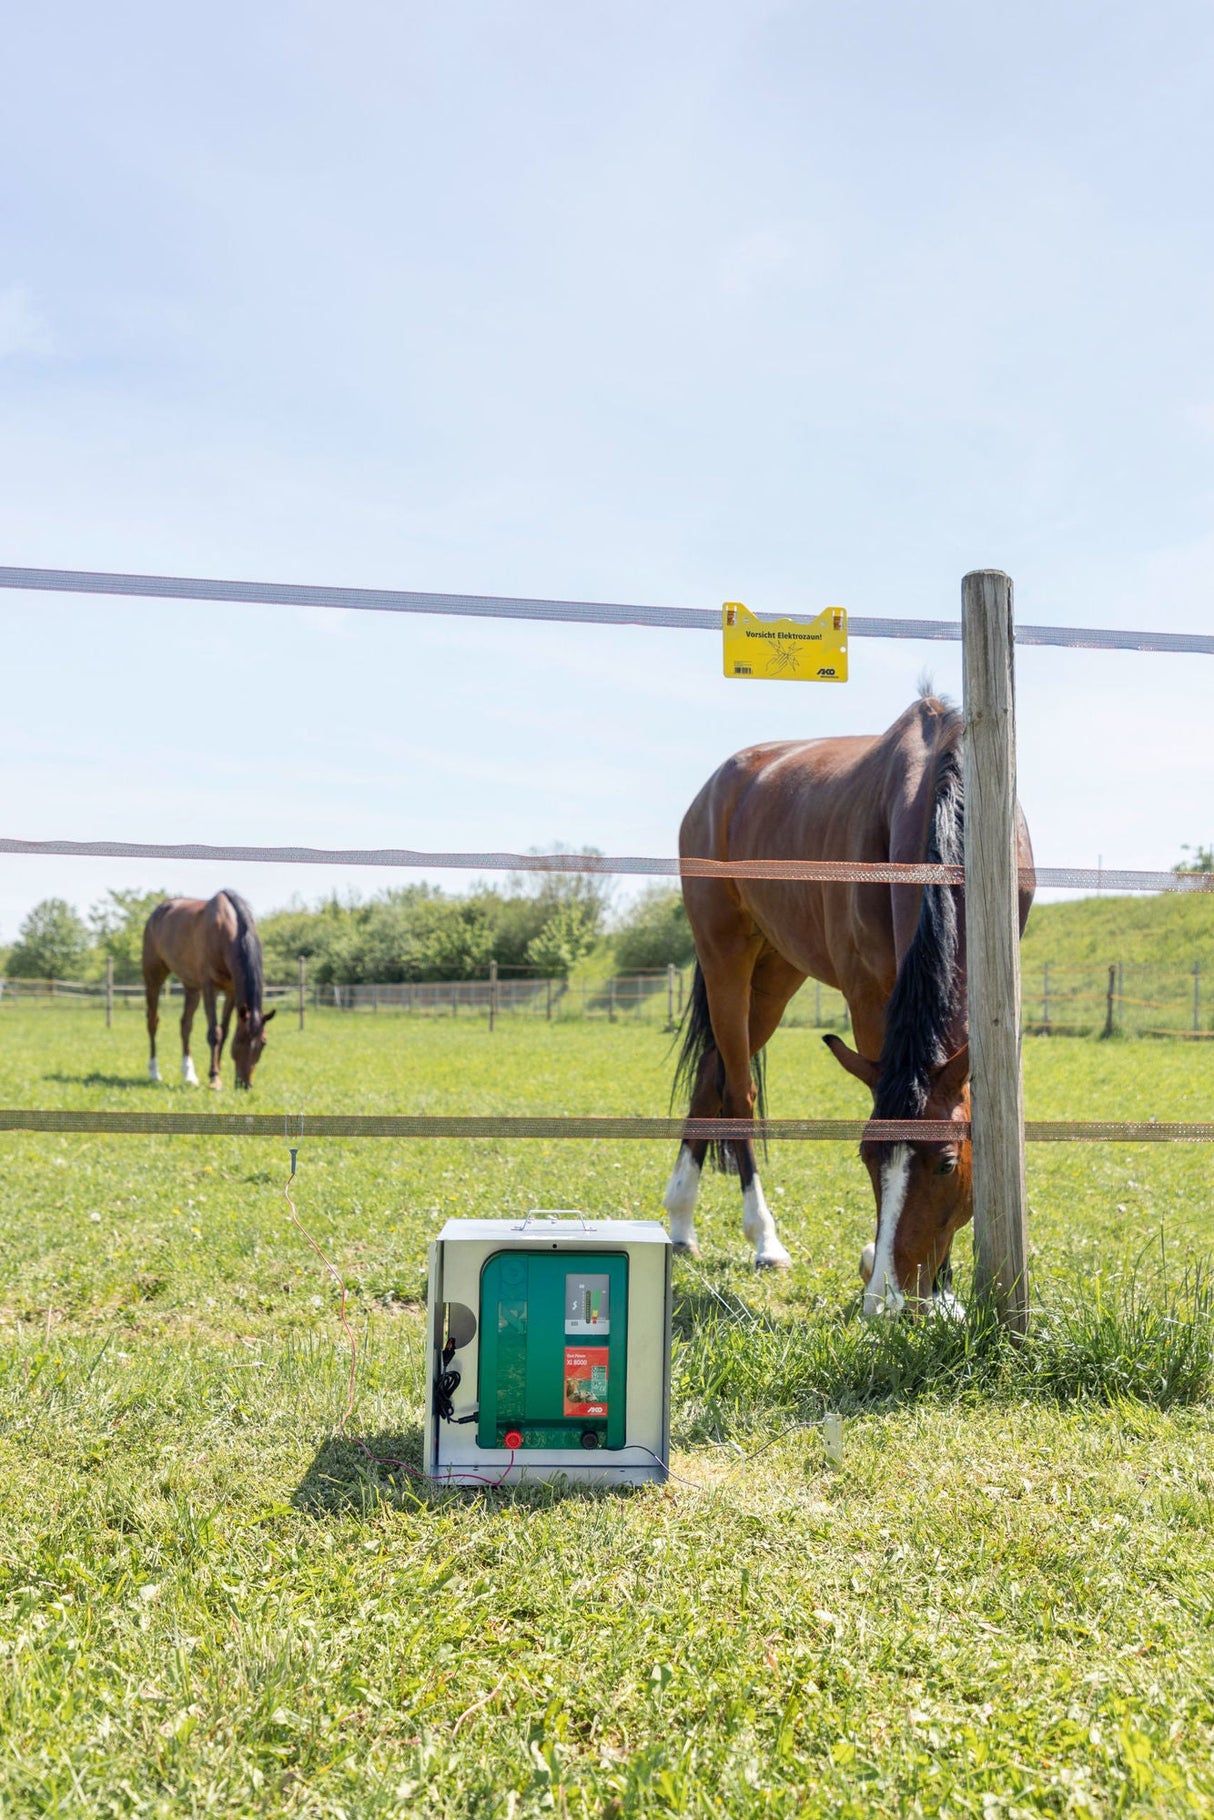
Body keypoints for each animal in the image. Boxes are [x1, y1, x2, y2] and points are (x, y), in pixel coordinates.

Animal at [142, 888, 274, 1084]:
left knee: (185, 1025)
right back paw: (154, 1072)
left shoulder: (231, 991)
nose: (244, 1084)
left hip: (191, 987)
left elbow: (224, 1032)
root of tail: (157, 913)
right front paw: (214, 1079)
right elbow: (214, 1033)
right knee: (153, 1021)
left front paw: (216, 1073)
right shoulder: (209, 988)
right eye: (240, 1040)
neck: (225, 931)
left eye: (263, 1042)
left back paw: (189, 1075)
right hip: (153, 977)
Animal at [666, 691, 1033, 1310]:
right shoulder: (868, 995)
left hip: (775, 974)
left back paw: (680, 1223)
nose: (889, 1297)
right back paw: (763, 1239)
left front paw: (942, 1290)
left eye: (946, 1164)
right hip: (726, 958)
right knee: (738, 1090)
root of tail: (714, 790)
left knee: (711, 1074)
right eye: (866, 1156)